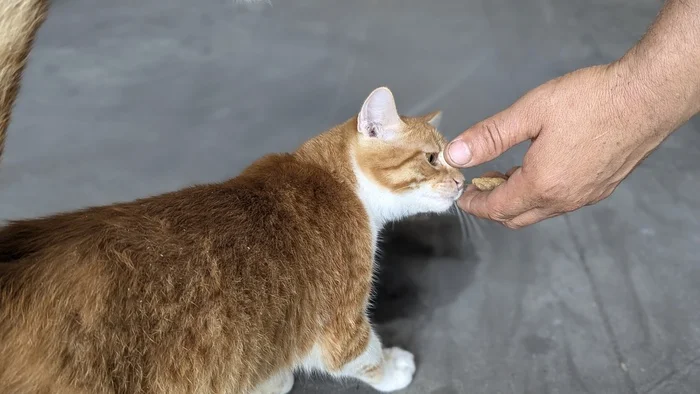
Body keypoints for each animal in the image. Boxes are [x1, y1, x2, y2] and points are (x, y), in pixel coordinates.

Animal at [1, 0, 470, 394]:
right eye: (433, 159)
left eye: (450, 157)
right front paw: (394, 368)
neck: (338, 182)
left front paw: (269, 380)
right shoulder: (341, 327)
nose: (462, 180)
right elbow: (365, 357)